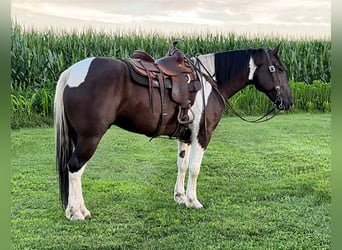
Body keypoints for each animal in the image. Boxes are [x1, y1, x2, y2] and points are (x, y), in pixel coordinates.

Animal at [54, 43, 292, 221]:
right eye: (279, 69)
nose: (288, 102)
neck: (210, 82)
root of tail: (71, 72)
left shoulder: (185, 136)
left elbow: (182, 165)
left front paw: (180, 197)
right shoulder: (202, 135)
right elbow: (195, 168)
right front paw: (193, 201)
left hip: (77, 138)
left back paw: (78, 210)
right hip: (90, 138)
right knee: (75, 168)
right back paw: (76, 213)